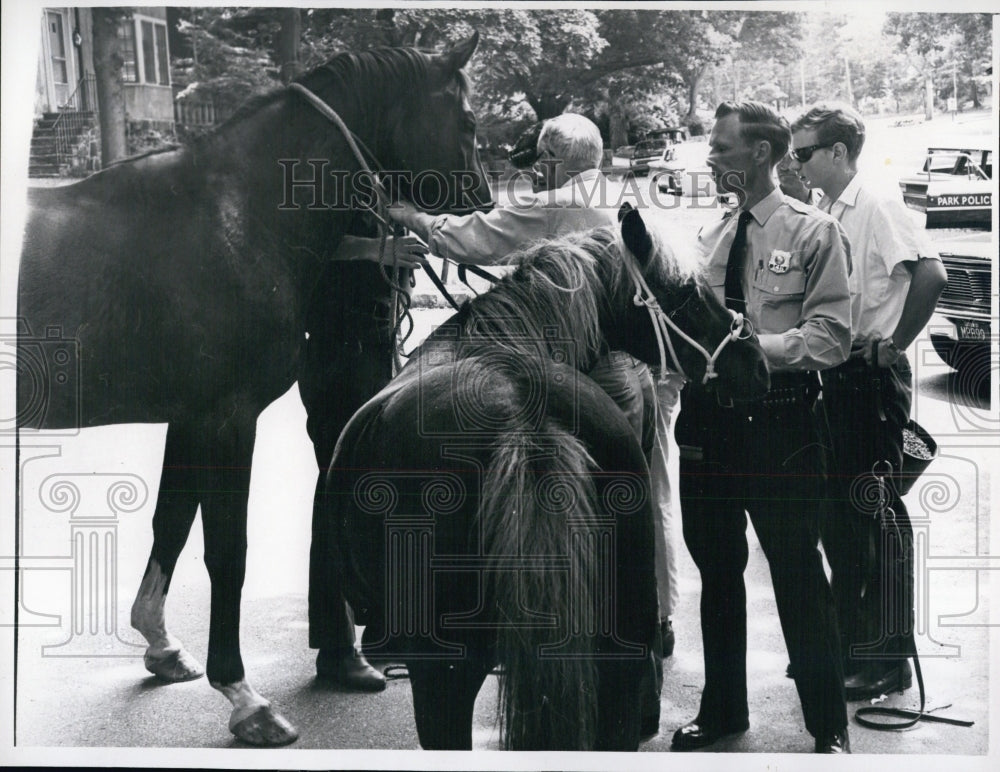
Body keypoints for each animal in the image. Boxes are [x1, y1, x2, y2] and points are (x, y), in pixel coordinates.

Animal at [17, 33, 494, 744]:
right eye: (466, 121)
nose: (486, 202)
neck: (235, 218)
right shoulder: (228, 417)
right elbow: (228, 552)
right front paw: (244, 697)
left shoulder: (191, 418)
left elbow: (171, 522)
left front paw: (162, 645)